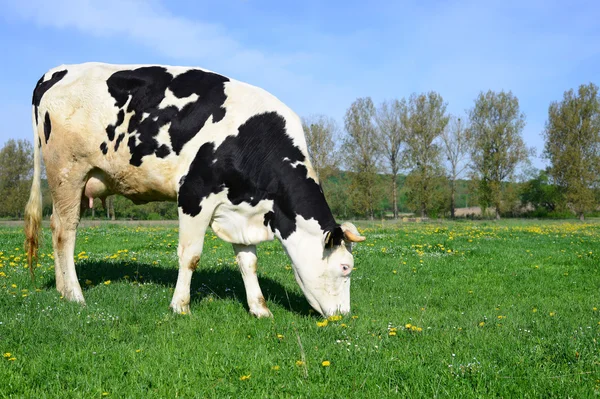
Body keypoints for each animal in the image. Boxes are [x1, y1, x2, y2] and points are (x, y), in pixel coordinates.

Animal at [24, 62, 366, 318]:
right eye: (345, 267)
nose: (343, 315)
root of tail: (57, 71)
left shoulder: (239, 207)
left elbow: (248, 261)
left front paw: (260, 309)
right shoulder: (194, 195)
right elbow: (190, 256)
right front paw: (181, 306)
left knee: (56, 226)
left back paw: (62, 289)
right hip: (68, 172)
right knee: (65, 232)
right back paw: (75, 295)